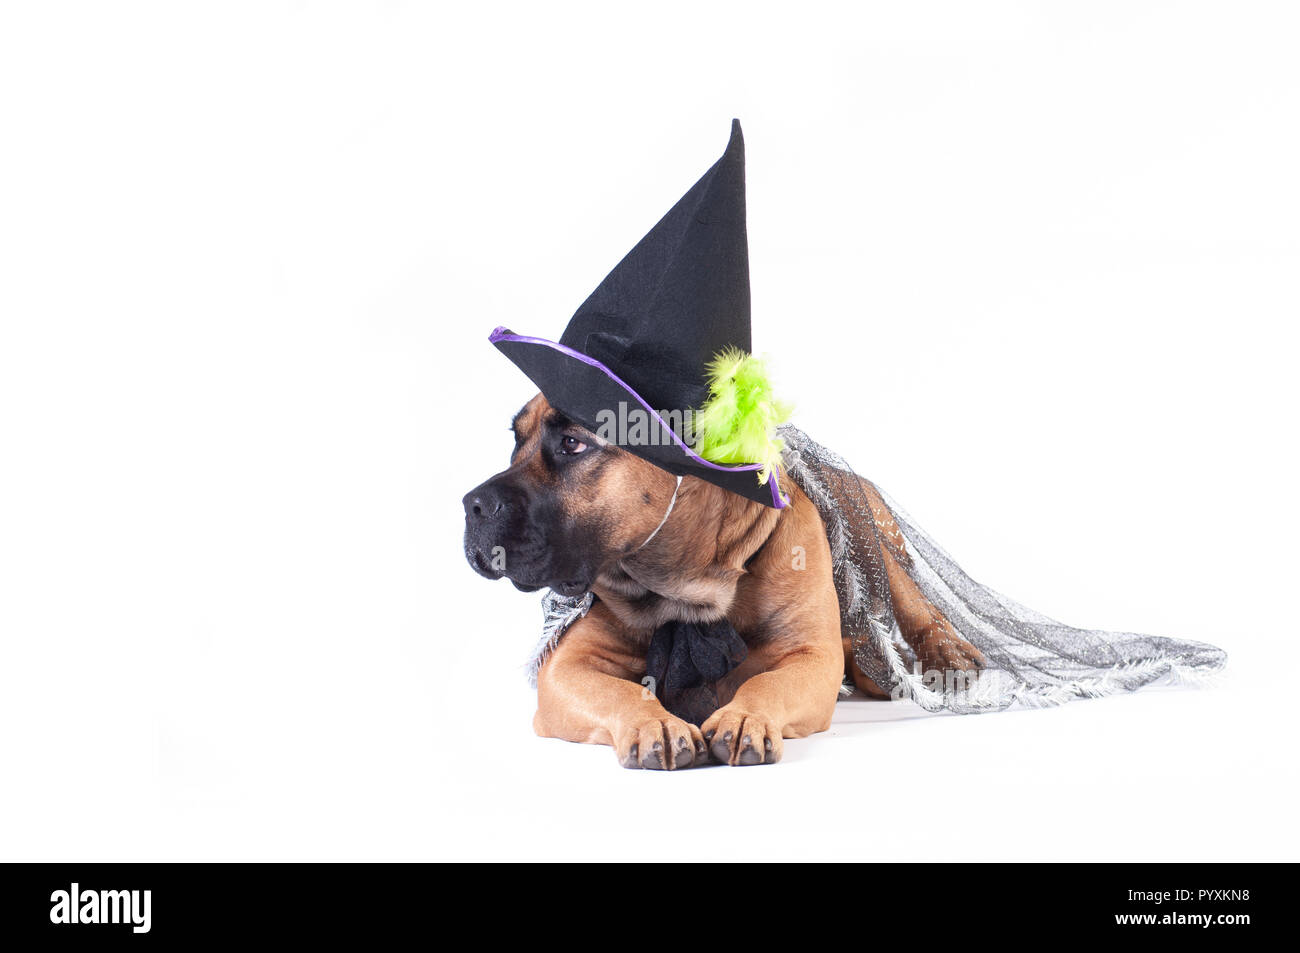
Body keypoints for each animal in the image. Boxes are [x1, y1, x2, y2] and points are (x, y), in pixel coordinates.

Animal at [462, 390, 977, 764]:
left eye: (573, 443)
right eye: (516, 440)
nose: (471, 505)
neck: (687, 585)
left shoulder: (810, 655)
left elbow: (767, 683)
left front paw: (745, 717)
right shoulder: (564, 669)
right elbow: (620, 690)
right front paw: (654, 724)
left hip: (869, 520)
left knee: (911, 600)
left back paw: (942, 654)